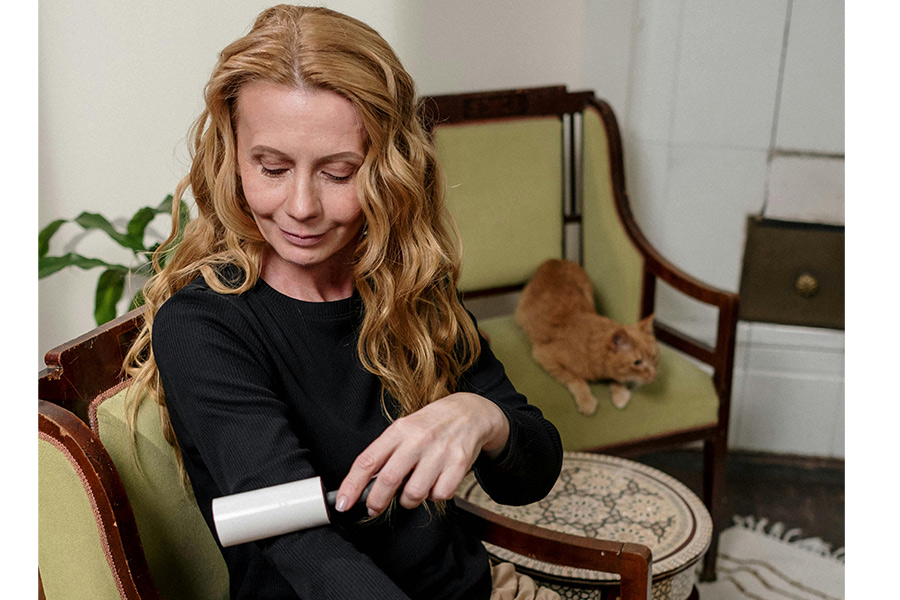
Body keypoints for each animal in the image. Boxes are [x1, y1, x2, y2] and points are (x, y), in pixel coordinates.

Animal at [515, 259, 659, 414]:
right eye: (637, 362)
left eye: (654, 357)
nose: (653, 374)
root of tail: (555, 260)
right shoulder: (544, 355)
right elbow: (577, 379)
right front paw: (586, 401)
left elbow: (615, 380)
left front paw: (620, 393)